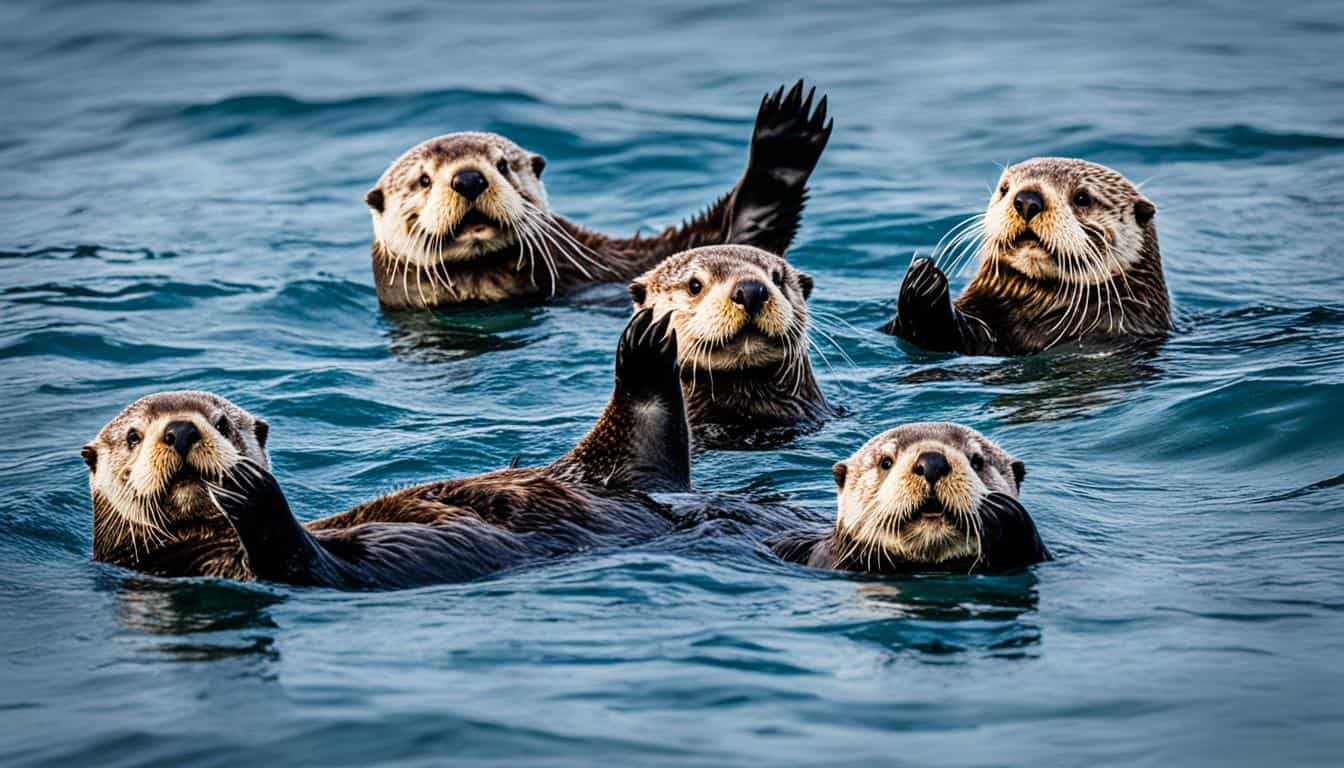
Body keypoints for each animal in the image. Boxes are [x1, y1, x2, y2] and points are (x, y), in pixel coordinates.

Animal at [85, 310, 691, 588]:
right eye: (135, 436)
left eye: (221, 424)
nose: (181, 432)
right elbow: (299, 563)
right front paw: (248, 490)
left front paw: (242, 481)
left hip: (596, 471)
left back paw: (645, 343)